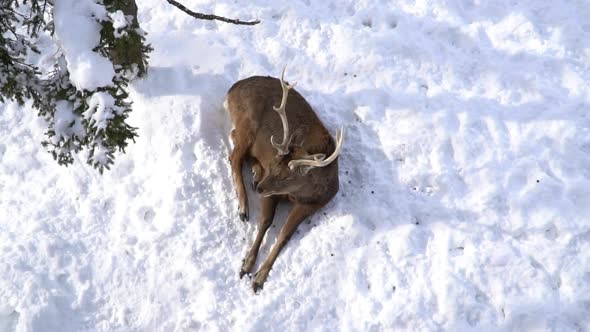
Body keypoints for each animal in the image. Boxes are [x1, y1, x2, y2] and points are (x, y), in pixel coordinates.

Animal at [224, 66, 344, 292]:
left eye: (286, 177)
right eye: (273, 164)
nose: (260, 189)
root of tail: (231, 90)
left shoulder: (312, 204)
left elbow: (285, 235)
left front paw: (259, 278)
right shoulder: (273, 193)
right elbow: (265, 221)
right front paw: (246, 265)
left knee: (234, 140)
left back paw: (255, 174)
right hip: (248, 123)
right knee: (234, 156)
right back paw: (244, 206)